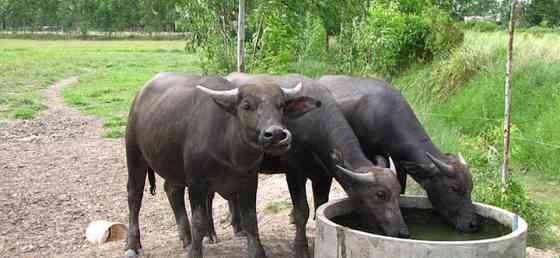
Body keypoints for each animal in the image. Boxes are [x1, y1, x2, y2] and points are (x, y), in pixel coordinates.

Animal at [125, 73, 322, 258]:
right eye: (246, 106)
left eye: (280, 105)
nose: (276, 134)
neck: (230, 150)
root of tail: (139, 96)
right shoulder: (196, 182)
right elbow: (199, 221)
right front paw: (196, 252)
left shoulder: (249, 180)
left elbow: (251, 220)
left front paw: (257, 252)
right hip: (134, 154)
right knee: (134, 196)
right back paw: (132, 245)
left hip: (174, 166)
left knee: (172, 190)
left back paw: (186, 239)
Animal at [225, 73, 410, 258]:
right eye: (380, 194)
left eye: (398, 192)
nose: (402, 233)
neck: (314, 124)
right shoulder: (293, 171)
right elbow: (302, 212)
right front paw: (300, 248)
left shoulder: (323, 175)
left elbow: (320, 205)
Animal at [318, 75, 480, 234]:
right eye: (453, 188)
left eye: (471, 187)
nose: (472, 224)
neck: (383, 114)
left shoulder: (398, 159)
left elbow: (401, 184)